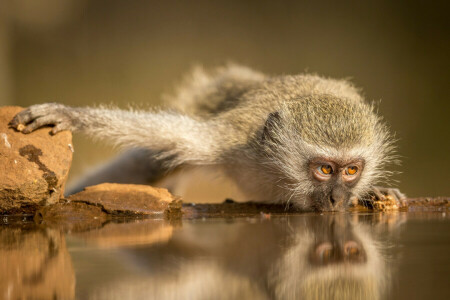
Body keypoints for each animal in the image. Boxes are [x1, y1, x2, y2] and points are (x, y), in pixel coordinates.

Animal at [8, 64, 406, 212]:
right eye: (325, 170)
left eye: (351, 171)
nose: (339, 198)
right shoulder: (231, 142)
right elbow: (158, 133)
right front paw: (71, 114)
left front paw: (375, 192)